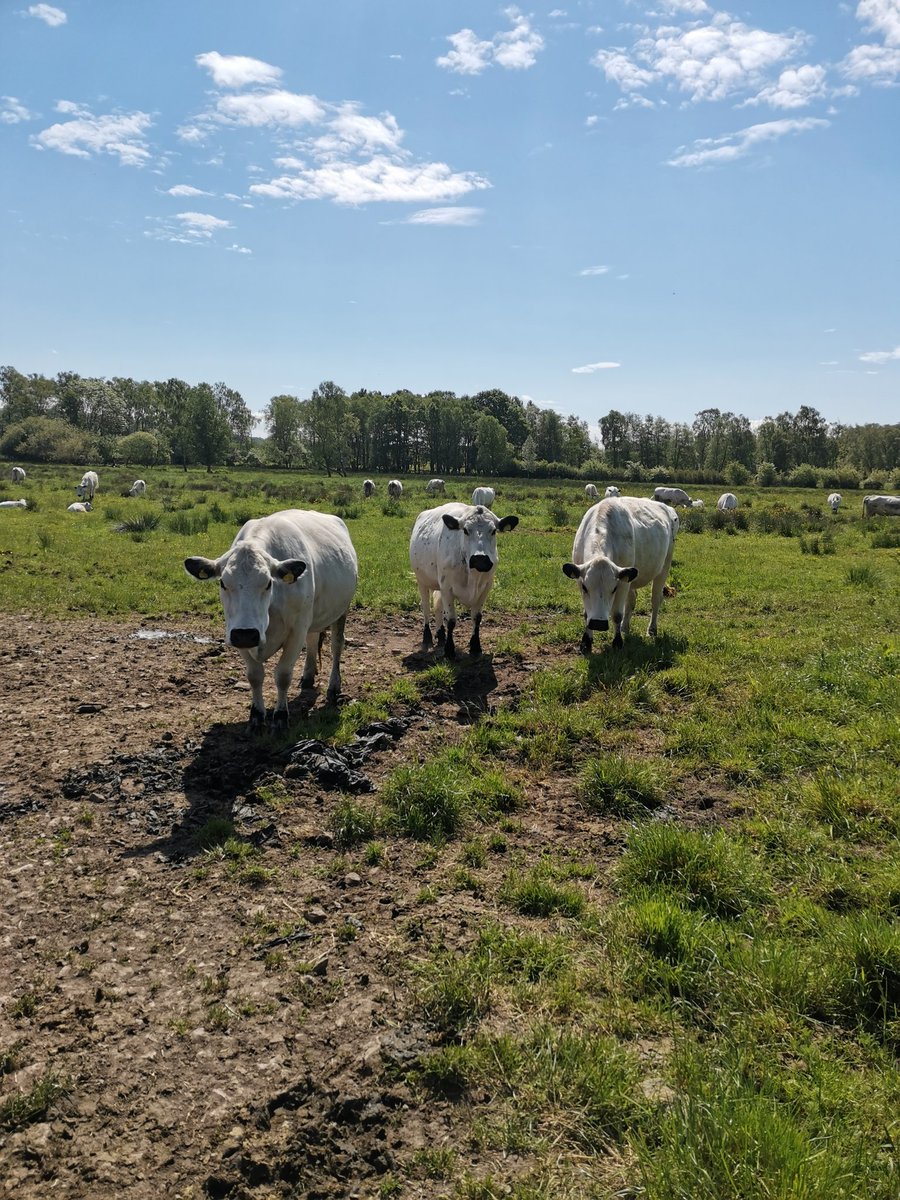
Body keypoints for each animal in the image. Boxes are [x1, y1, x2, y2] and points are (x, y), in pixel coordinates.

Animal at [184, 509, 358, 727]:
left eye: (268, 583)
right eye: (223, 583)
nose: (246, 634)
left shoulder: (296, 630)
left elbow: (282, 675)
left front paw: (281, 715)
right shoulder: (237, 633)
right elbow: (255, 676)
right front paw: (256, 714)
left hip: (342, 609)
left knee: (336, 646)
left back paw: (333, 687)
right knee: (312, 640)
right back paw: (308, 676)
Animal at [410, 502, 519, 659]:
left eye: (493, 531)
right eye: (465, 530)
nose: (480, 558)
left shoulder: (485, 588)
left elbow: (477, 617)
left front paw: (475, 646)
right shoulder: (447, 588)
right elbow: (451, 620)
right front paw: (449, 650)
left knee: (438, 607)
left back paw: (441, 635)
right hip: (422, 581)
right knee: (426, 608)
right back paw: (427, 638)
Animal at [562, 497, 677, 654]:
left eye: (613, 589)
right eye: (586, 588)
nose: (598, 623)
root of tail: (666, 507)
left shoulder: (622, 582)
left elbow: (617, 614)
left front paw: (617, 642)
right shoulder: (580, 580)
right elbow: (586, 613)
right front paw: (586, 642)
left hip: (664, 566)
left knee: (655, 599)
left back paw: (652, 629)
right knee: (632, 600)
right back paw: (624, 627)